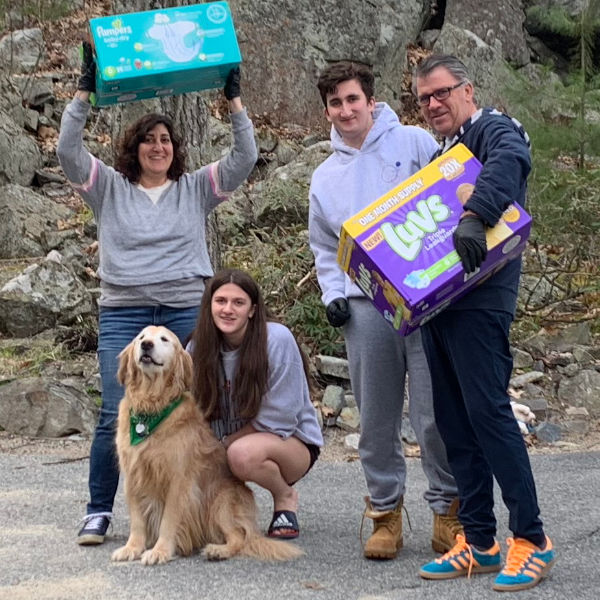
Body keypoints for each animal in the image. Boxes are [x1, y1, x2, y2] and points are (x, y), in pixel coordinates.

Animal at [110, 326, 302, 564]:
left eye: (164, 339)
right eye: (141, 338)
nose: (147, 345)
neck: (152, 407)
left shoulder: (178, 481)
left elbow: (168, 520)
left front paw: (159, 551)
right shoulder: (133, 474)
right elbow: (137, 520)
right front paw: (132, 547)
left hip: (218, 502)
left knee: (239, 537)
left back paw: (218, 551)